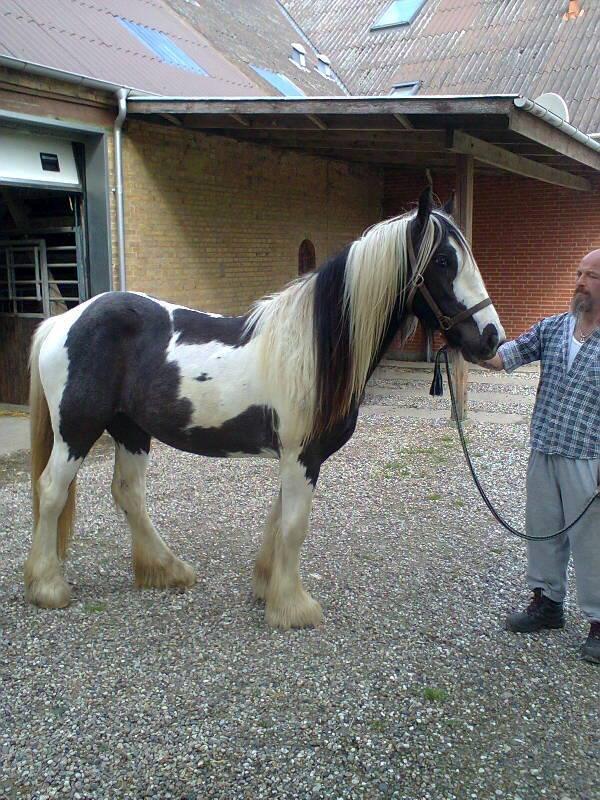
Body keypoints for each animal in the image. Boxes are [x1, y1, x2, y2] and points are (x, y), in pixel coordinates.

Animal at [25, 191, 504, 628]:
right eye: (443, 260)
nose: (492, 338)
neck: (315, 350)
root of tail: (62, 322)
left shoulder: (296, 457)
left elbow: (278, 519)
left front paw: (266, 586)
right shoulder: (302, 456)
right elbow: (294, 526)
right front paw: (293, 608)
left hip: (130, 430)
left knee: (128, 494)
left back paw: (167, 569)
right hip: (76, 431)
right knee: (51, 491)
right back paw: (48, 586)